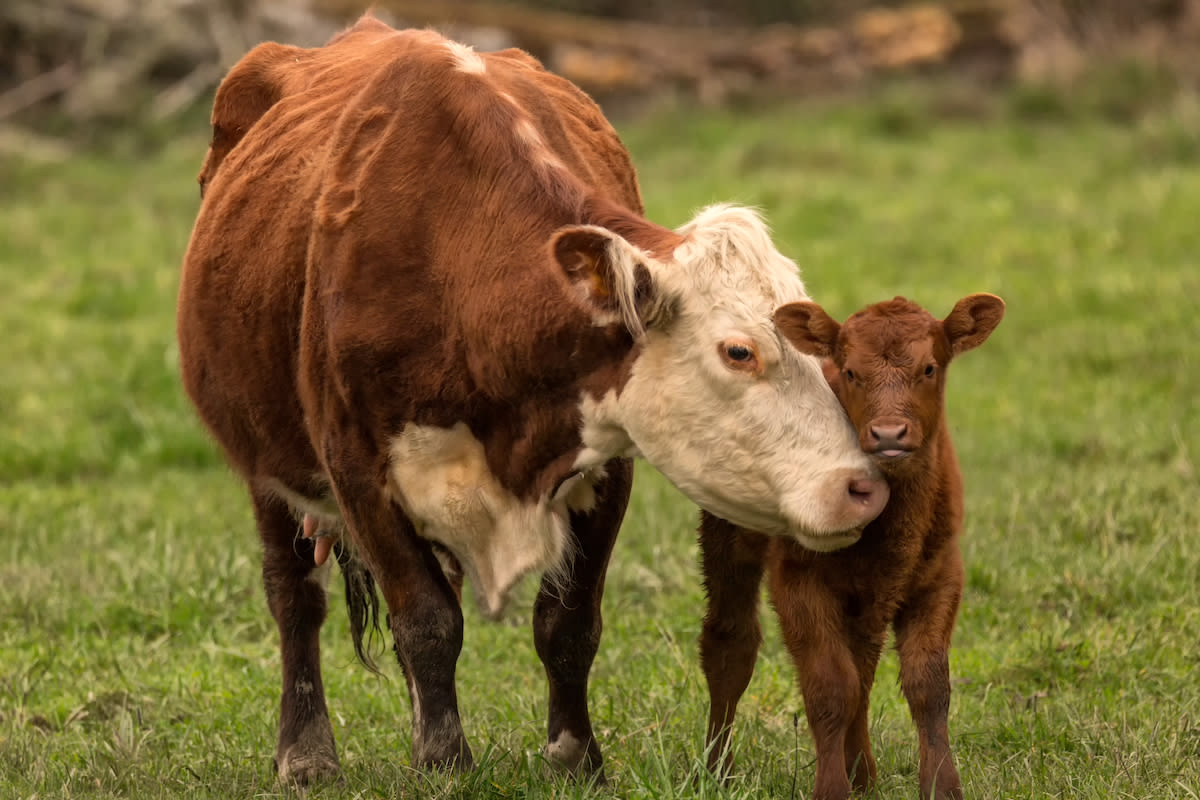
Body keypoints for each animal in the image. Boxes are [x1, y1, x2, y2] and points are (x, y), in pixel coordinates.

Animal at [177, 15, 892, 786]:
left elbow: (566, 622)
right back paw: (306, 753)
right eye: (739, 351)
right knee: (295, 597)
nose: (862, 488)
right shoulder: (357, 469)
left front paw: (575, 755)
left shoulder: (605, 461)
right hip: (267, 464)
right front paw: (445, 762)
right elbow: (426, 620)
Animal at [700, 293, 1008, 800]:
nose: (889, 434)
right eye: (850, 372)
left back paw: (862, 772)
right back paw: (716, 771)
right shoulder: (799, 580)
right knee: (730, 644)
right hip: (728, 533)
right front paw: (831, 787)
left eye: (929, 368)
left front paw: (941, 785)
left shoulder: (941, 575)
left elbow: (927, 686)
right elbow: (830, 687)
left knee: (862, 668)